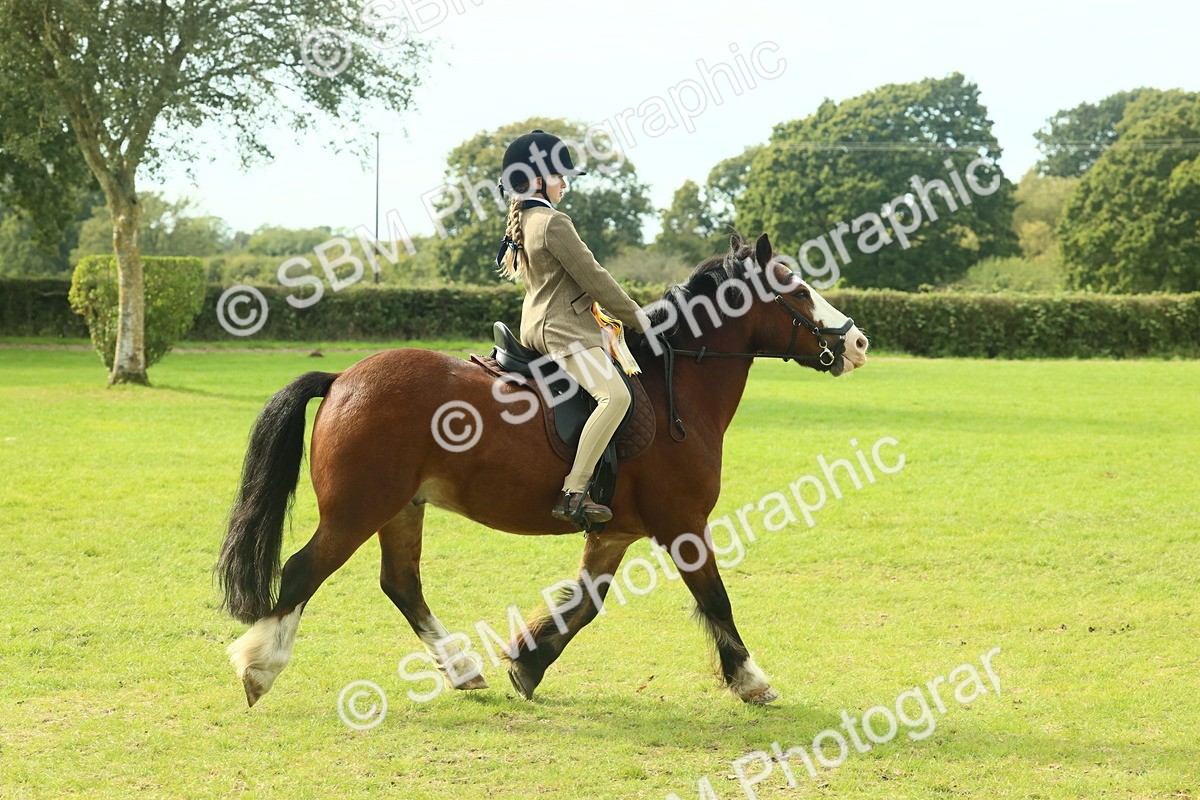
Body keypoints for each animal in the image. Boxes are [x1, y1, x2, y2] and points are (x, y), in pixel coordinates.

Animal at [216, 232, 870, 708]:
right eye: (797, 290)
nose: (859, 343)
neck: (675, 385)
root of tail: (342, 378)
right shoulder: (684, 525)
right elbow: (716, 599)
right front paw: (751, 679)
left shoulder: (614, 533)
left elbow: (585, 603)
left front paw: (526, 663)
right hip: (357, 509)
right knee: (303, 571)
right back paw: (259, 668)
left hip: (401, 509)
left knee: (401, 584)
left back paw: (463, 670)